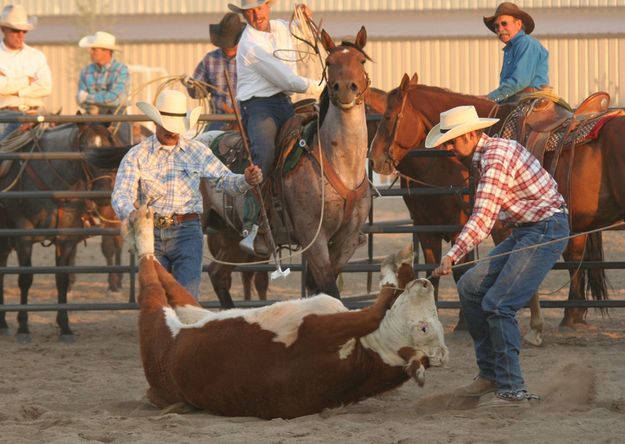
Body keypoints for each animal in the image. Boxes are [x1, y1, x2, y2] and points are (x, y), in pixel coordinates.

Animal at [128, 203, 448, 418]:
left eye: (424, 329)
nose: (425, 285)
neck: (365, 353)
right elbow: (387, 296)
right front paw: (403, 262)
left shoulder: (325, 326)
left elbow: (379, 305)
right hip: (195, 311)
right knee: (171, 284)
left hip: (158, 324)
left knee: (151, 278)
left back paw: (141, 224)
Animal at [204, 26, 370, 306]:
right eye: (329, 62)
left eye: (361, 61)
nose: (346, 89)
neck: (340, 163)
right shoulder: (314, 239)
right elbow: (330, 292)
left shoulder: (346, 240)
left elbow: (319, 289)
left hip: (229, 237)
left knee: (217, 275)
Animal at [368, 75, 616, 340]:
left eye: (388, 116)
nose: (373, 158)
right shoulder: (426, 228)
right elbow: (435, 275)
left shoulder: (481, 225)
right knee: (576, 261)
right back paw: (572, 317)